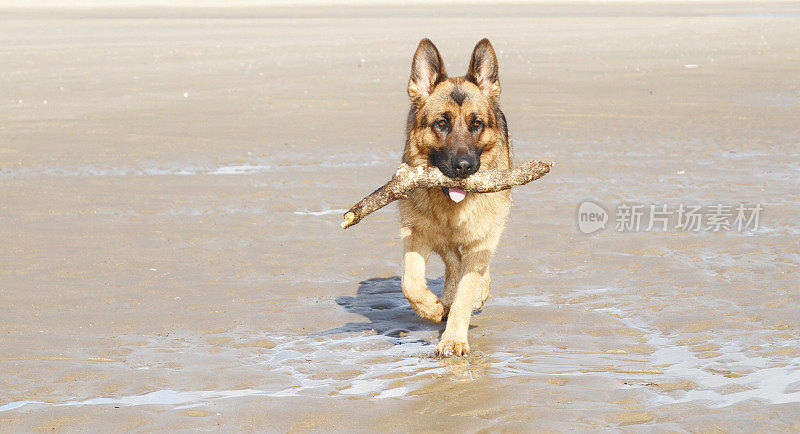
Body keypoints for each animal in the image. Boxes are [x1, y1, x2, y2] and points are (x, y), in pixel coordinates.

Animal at [400, 38, 512, 356]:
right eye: (441, 124)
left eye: (476, 124)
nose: (464, 167)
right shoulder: (416, 232)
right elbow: (410, 283)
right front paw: (432, 307)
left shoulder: (482, 241)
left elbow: (467, 288)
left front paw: (453, 340)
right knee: (452, 258)